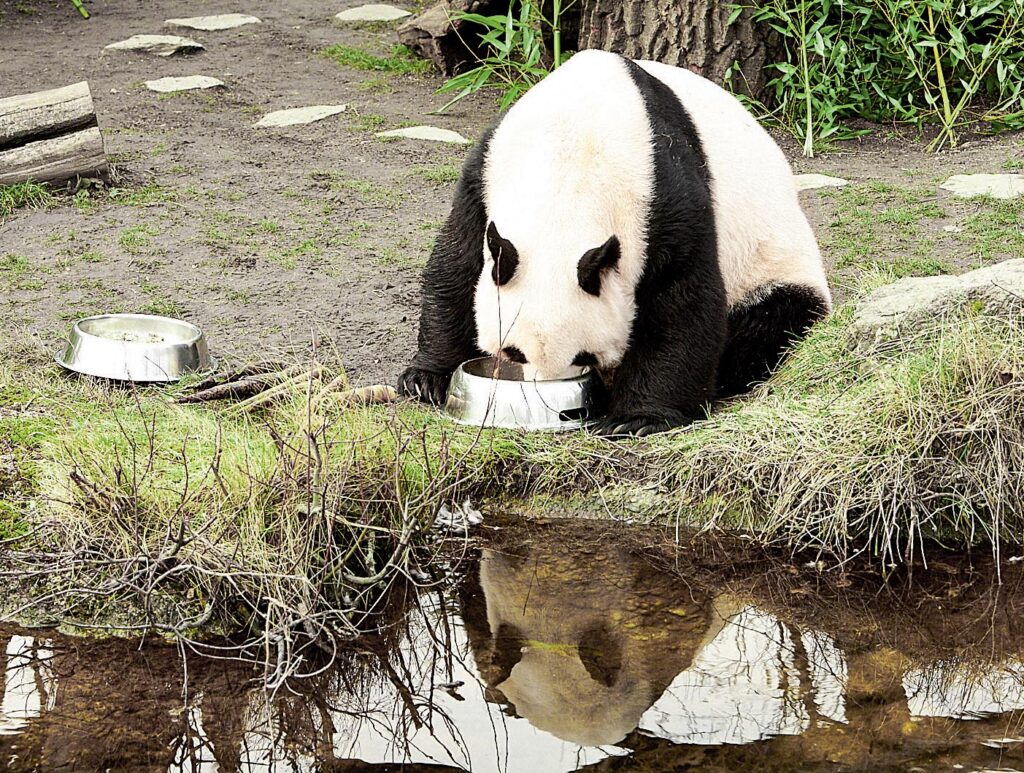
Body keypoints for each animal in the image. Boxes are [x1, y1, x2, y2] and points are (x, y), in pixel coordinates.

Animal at [398, 49, 831, 436]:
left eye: (583, 355)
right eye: (514, 352)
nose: (547, 396)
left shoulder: (667, 194)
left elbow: (682, 300)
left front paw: (639, 417)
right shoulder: (485, 172)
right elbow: (458, 265)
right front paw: (426, 378)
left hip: (774, 262)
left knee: (772, 320)